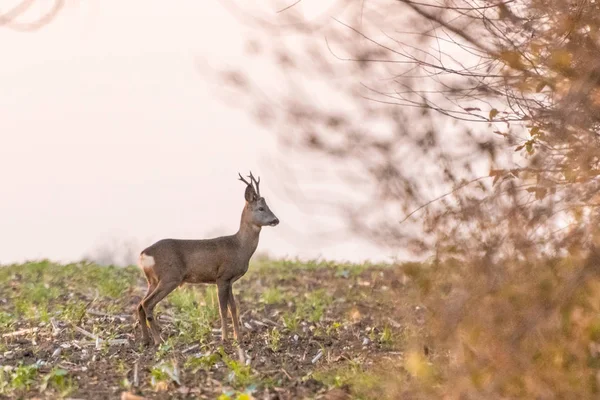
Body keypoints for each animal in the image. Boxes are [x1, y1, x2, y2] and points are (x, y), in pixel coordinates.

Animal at [137, 173, 278, 346]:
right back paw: (159, 340)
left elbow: (233, 308)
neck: (239, 247)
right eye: (261, 208)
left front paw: (239, 338)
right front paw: (225, 338)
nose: (276, 220)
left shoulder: (229, 281)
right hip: (170, 277)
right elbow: (222, 309)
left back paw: (145, 340)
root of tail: (144, 254)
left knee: (140, 305)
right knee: (147, 304)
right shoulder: (222, 277)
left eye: (268, 206)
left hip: (152, 280)